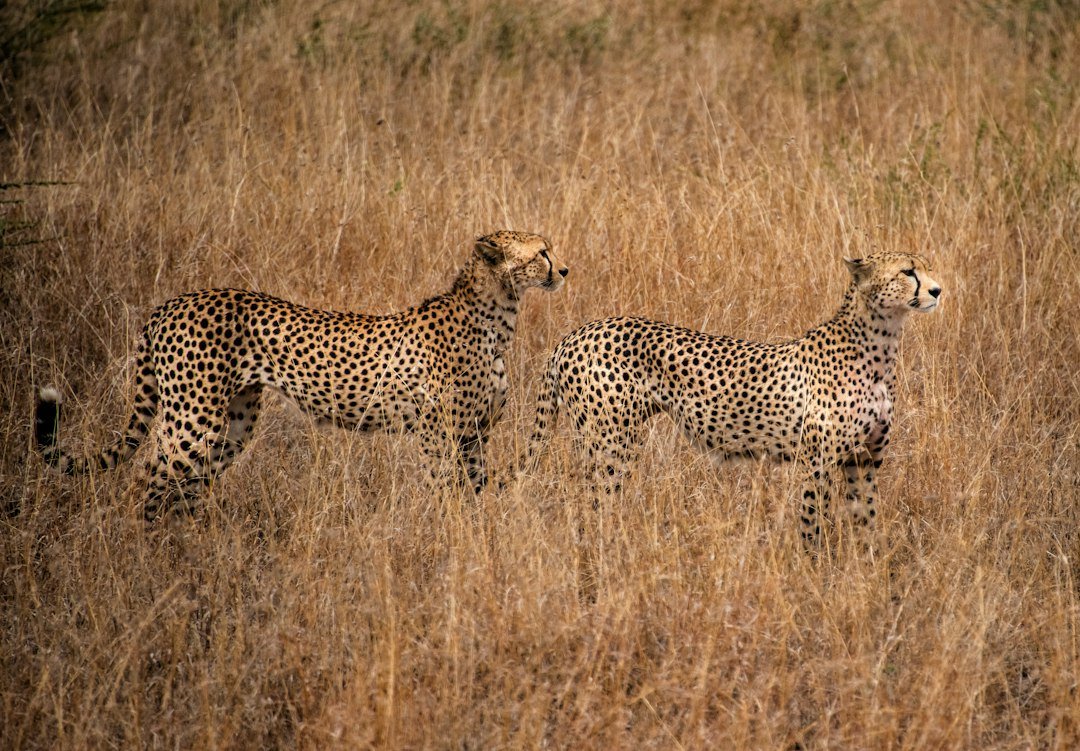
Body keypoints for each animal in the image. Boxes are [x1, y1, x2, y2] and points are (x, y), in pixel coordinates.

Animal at [35, 230, 568, 521]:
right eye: (541, 251)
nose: (564, 269)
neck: (496, 313)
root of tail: (172, 302)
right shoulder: (440, 433)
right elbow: (445, 493)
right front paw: (443, 543)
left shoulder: (475, 434)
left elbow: (475, 493)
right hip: (193, 418)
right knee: (150, 477)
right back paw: (151, 558)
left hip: (233, 423)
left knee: (184, 488)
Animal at [516, 251, 941, 547]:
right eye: (908, 271)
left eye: (926, 266)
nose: (937, 290)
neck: (881, 344)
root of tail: (575, 333)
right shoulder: (815, 461)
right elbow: (812, 523)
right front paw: (814, 573)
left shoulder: (864, 461)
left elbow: (866, 520)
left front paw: (869, 569)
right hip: (612, 442)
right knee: (591, 501)